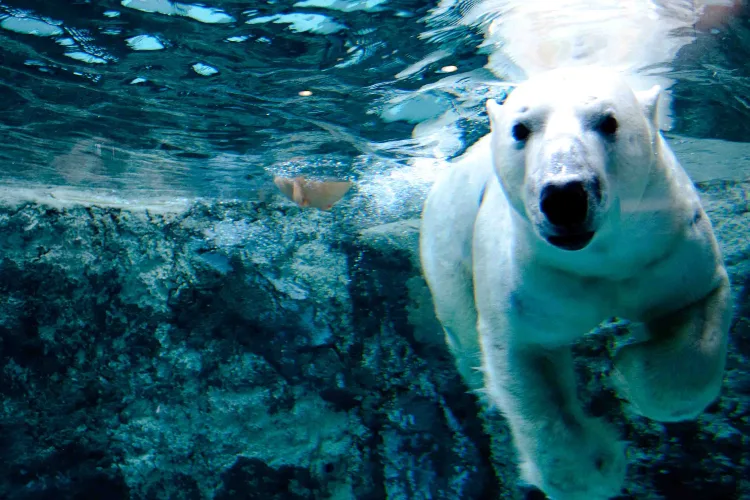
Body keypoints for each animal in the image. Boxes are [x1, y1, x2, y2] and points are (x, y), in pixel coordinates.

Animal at [419, 66, 732, 500]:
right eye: (520, 128)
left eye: (609, 121)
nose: (565, 195)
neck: (599, 256)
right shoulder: (533, 279)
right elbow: (527, 363)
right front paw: (596, 470)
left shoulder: (668, 246)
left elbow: (696, 319)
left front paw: (628, 369)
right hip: (447, 242)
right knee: (463, 331)